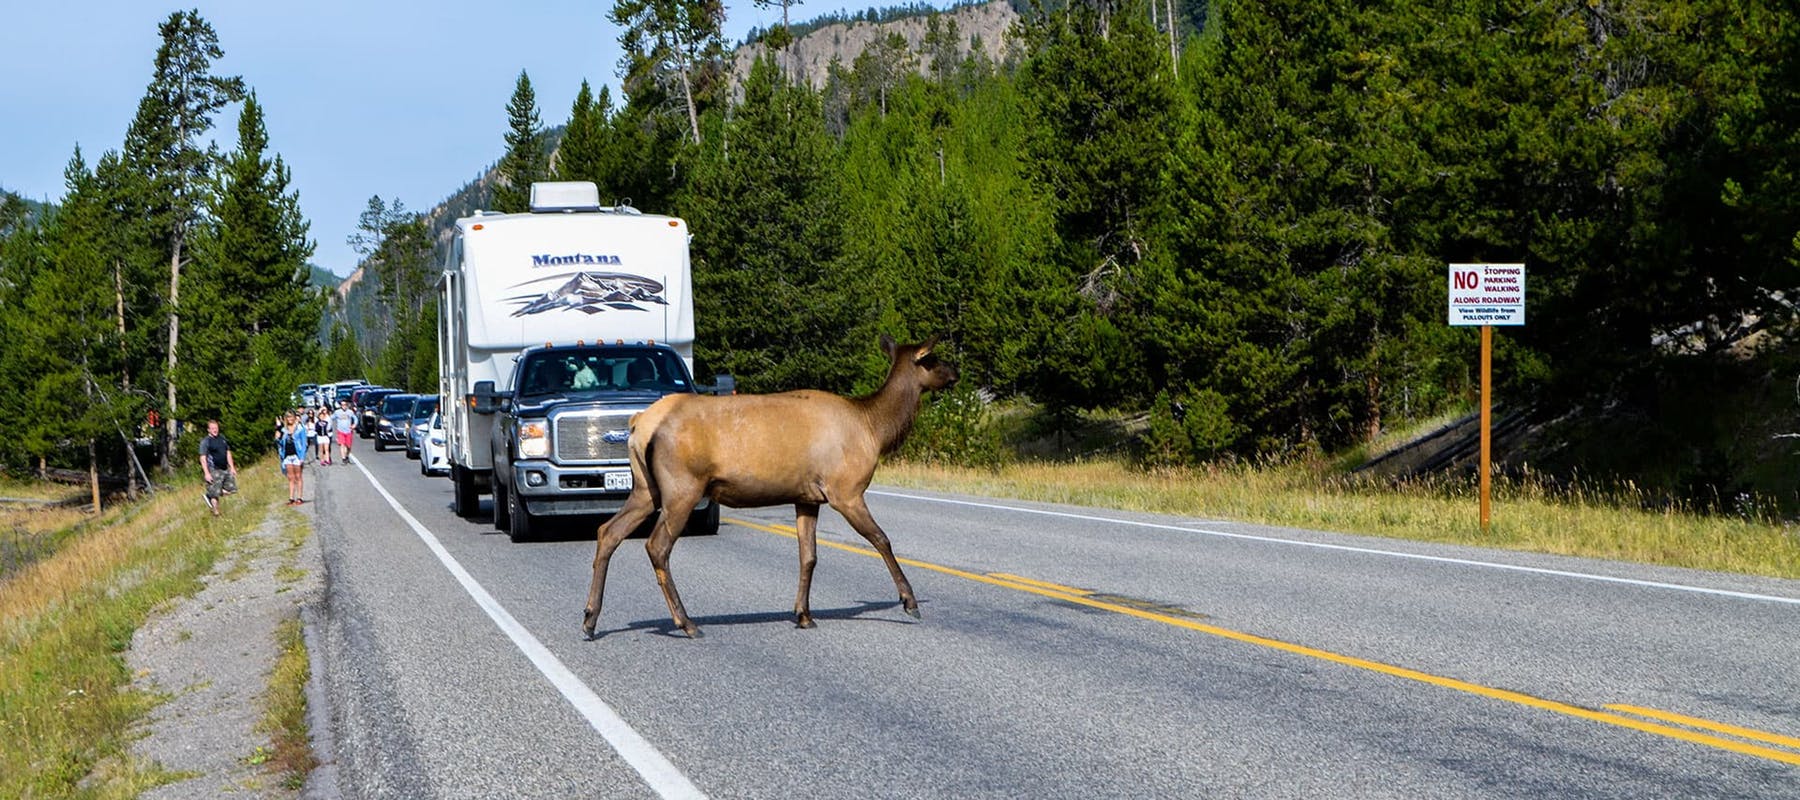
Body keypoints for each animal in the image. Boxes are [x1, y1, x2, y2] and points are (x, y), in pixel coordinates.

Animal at [582, 335, 959, 639]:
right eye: (932, 358)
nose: (956, 371)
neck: (874, 429)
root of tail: (639, 424)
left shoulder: (807, 497)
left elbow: (808, 556)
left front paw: (803, 614)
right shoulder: (845, 490)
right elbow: (882, 540)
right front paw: (909, 601)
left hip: (646, 488)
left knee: (608, 531)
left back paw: (590, 619)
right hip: (682, 486)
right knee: (656, 545)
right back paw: (686, 623)